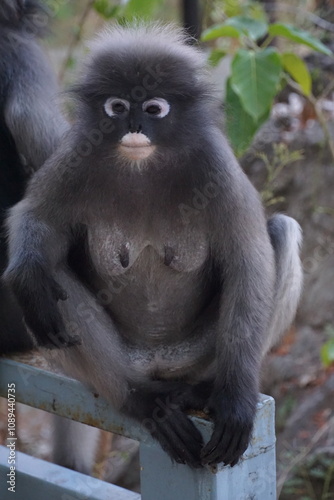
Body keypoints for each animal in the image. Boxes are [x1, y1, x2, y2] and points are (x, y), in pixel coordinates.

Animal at [3, 23, 304, 468]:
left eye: (153, 109)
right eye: (116, 106)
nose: (134, 127)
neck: (142, 166)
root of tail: (160, 363)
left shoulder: (217, 165)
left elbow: (248, 263)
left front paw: (235, 401)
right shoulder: (76, 154)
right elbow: (32, 218)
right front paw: (26, 274)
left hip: (197, 353)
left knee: (281, 230)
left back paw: (205, 390)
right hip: (128, 359)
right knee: (49, 277)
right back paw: (142, 400)